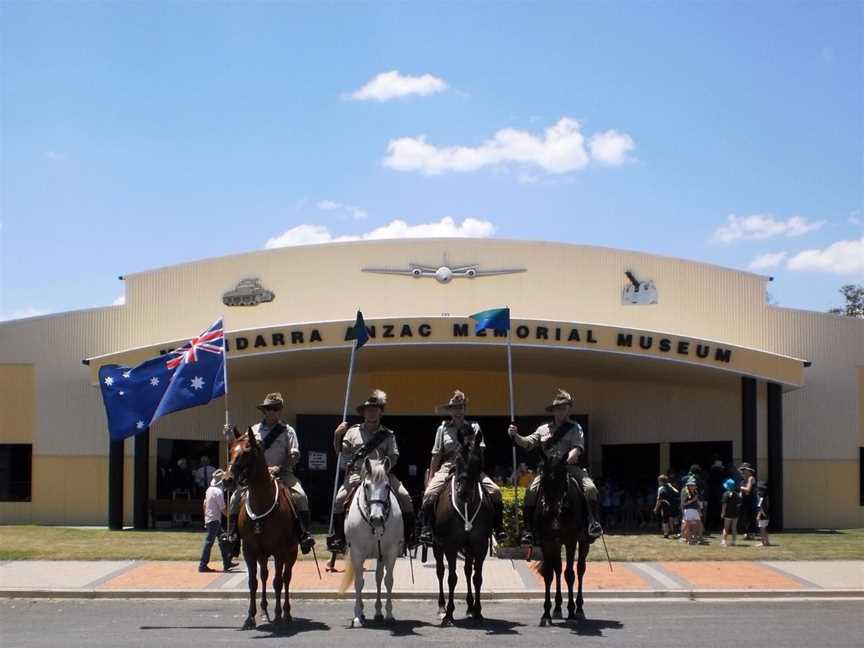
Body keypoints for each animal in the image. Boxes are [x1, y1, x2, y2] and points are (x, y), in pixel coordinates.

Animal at [223, 428, 300, 632]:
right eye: (231, 450)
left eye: (246, 452)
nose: (227, 480)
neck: (261, 502)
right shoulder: (249, 550)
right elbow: (253, 582)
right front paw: (250, 617)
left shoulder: (280, 551)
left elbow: (278, 582)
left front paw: (279, 616)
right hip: (263, 554)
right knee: (264, 575)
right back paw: (264, 610)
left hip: (291, 552)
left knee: (286, 578)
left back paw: (286, 614)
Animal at [340, 456, 404, 628]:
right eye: (367, 486)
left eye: (387, 486)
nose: (377, 518)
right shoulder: (356, 552)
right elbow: (359, 582)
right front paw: (357, 616)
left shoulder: (390, 552)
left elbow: (388, 581)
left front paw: (389, 614)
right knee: (362, 579)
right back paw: (362, 612)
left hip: (380, 556)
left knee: (378, 578)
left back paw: (378, 612)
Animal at [432, 432, 492, 624]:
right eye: (457, 459)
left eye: (477, 461)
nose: (463, 492)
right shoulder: (450, 546)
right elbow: (452, 578)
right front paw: (449, 614)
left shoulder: (480, 546)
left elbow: (477, 578)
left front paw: (478, 610)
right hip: (437, 545)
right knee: (440, 571)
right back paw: (441, 607)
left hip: (468, 548)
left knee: (467, 571)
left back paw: (470, 606)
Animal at [532, 448, 592, 624]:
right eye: (543, 479)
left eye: (562, 480)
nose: (551, 509)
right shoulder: (546, 541)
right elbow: (548, 574)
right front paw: (546, 614)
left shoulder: (571, 541)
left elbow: (570, 575)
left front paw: (571, 612)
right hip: (556, 543)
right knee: (557, 570)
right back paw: (557, 608)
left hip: (584, 542)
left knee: (580, 570)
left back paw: (579, 609)